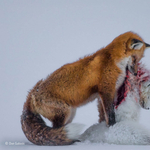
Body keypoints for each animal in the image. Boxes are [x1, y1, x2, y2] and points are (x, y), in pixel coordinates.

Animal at [21, 31, 150, 145]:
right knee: (56, 132)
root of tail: (32, 94)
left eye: (139, 59)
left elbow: (103, 115)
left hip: (70, 113)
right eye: (134, 58)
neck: (113, 60)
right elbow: (110, 115)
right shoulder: (106, 90)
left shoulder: (103, 95)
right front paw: (112, 128)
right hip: (65, 111)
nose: (135, 73)